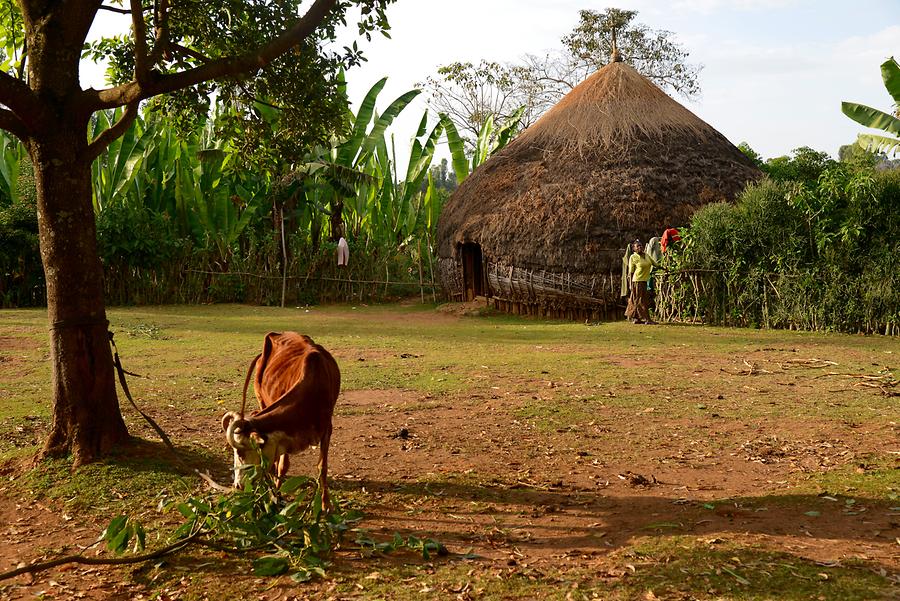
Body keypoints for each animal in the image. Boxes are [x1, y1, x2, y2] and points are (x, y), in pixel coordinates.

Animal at [222, 330, 342, 504]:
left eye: (240, 453)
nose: (238, 485)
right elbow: (282, 465)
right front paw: (275, 495)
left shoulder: (327, 427)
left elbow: (322, 467)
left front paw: (325, 504)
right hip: (261, 400)